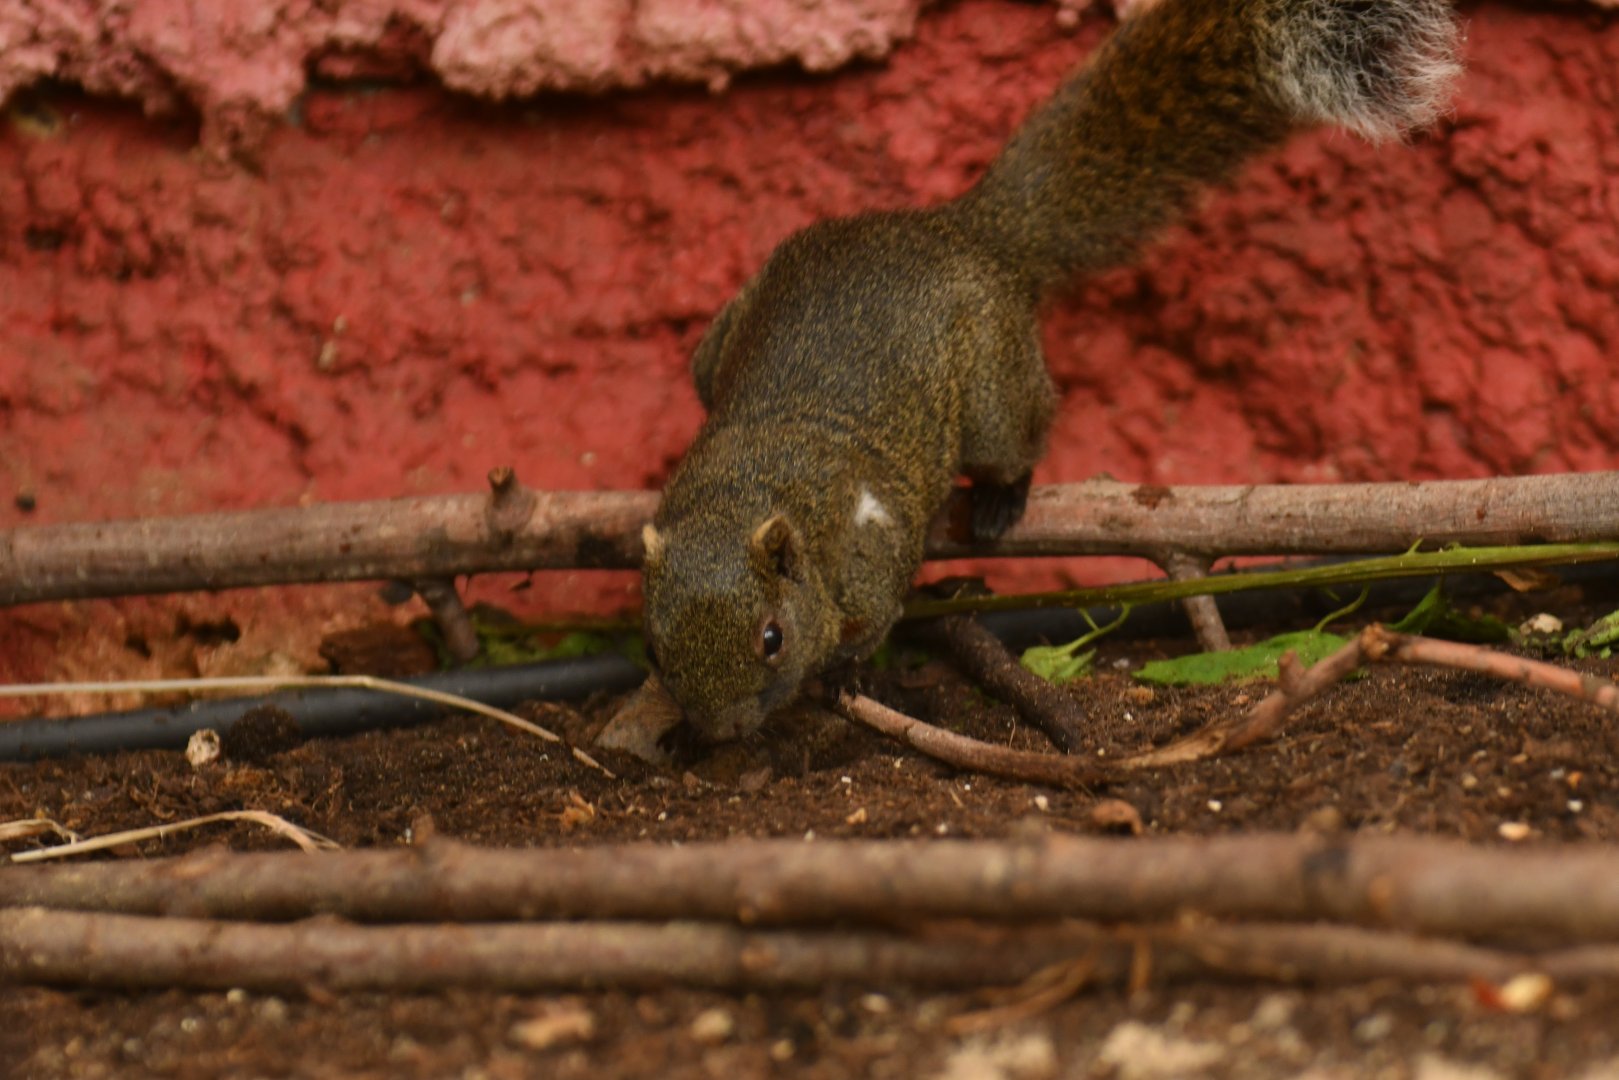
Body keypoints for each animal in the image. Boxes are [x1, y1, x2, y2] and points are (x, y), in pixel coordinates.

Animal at [640, 0, 1461, 741]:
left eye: (771, 638)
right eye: (651, 645)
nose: (719, 731)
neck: (746, 492)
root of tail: (968, 233)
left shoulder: (869, 549)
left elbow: (874, 618)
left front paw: (844, 672)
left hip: (994, 390)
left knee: (1021, 433)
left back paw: (1000, 501)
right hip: (715, 351)